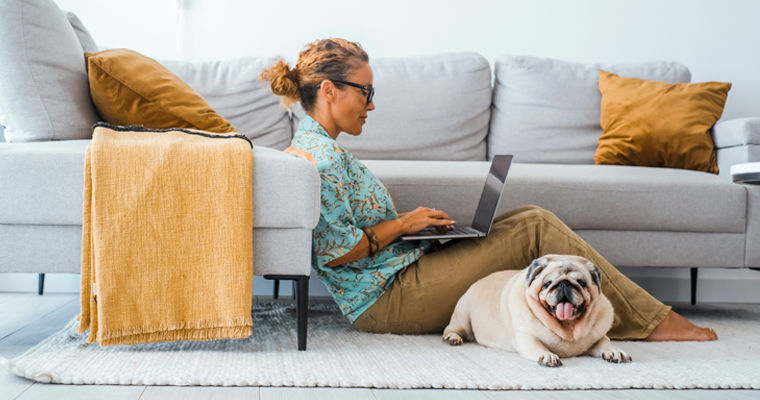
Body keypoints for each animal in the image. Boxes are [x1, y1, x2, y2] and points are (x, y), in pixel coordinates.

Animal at [442, 255, 632, 368]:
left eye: (581, 282)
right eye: (547, 284)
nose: (564, 283)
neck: (568, 329)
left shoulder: (597, 338)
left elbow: (605, 342)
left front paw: (615, 351)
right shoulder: (527, 338)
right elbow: (538, 346)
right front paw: (547, 356)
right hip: (463, 319)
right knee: (450, 329)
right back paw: (453, 338)